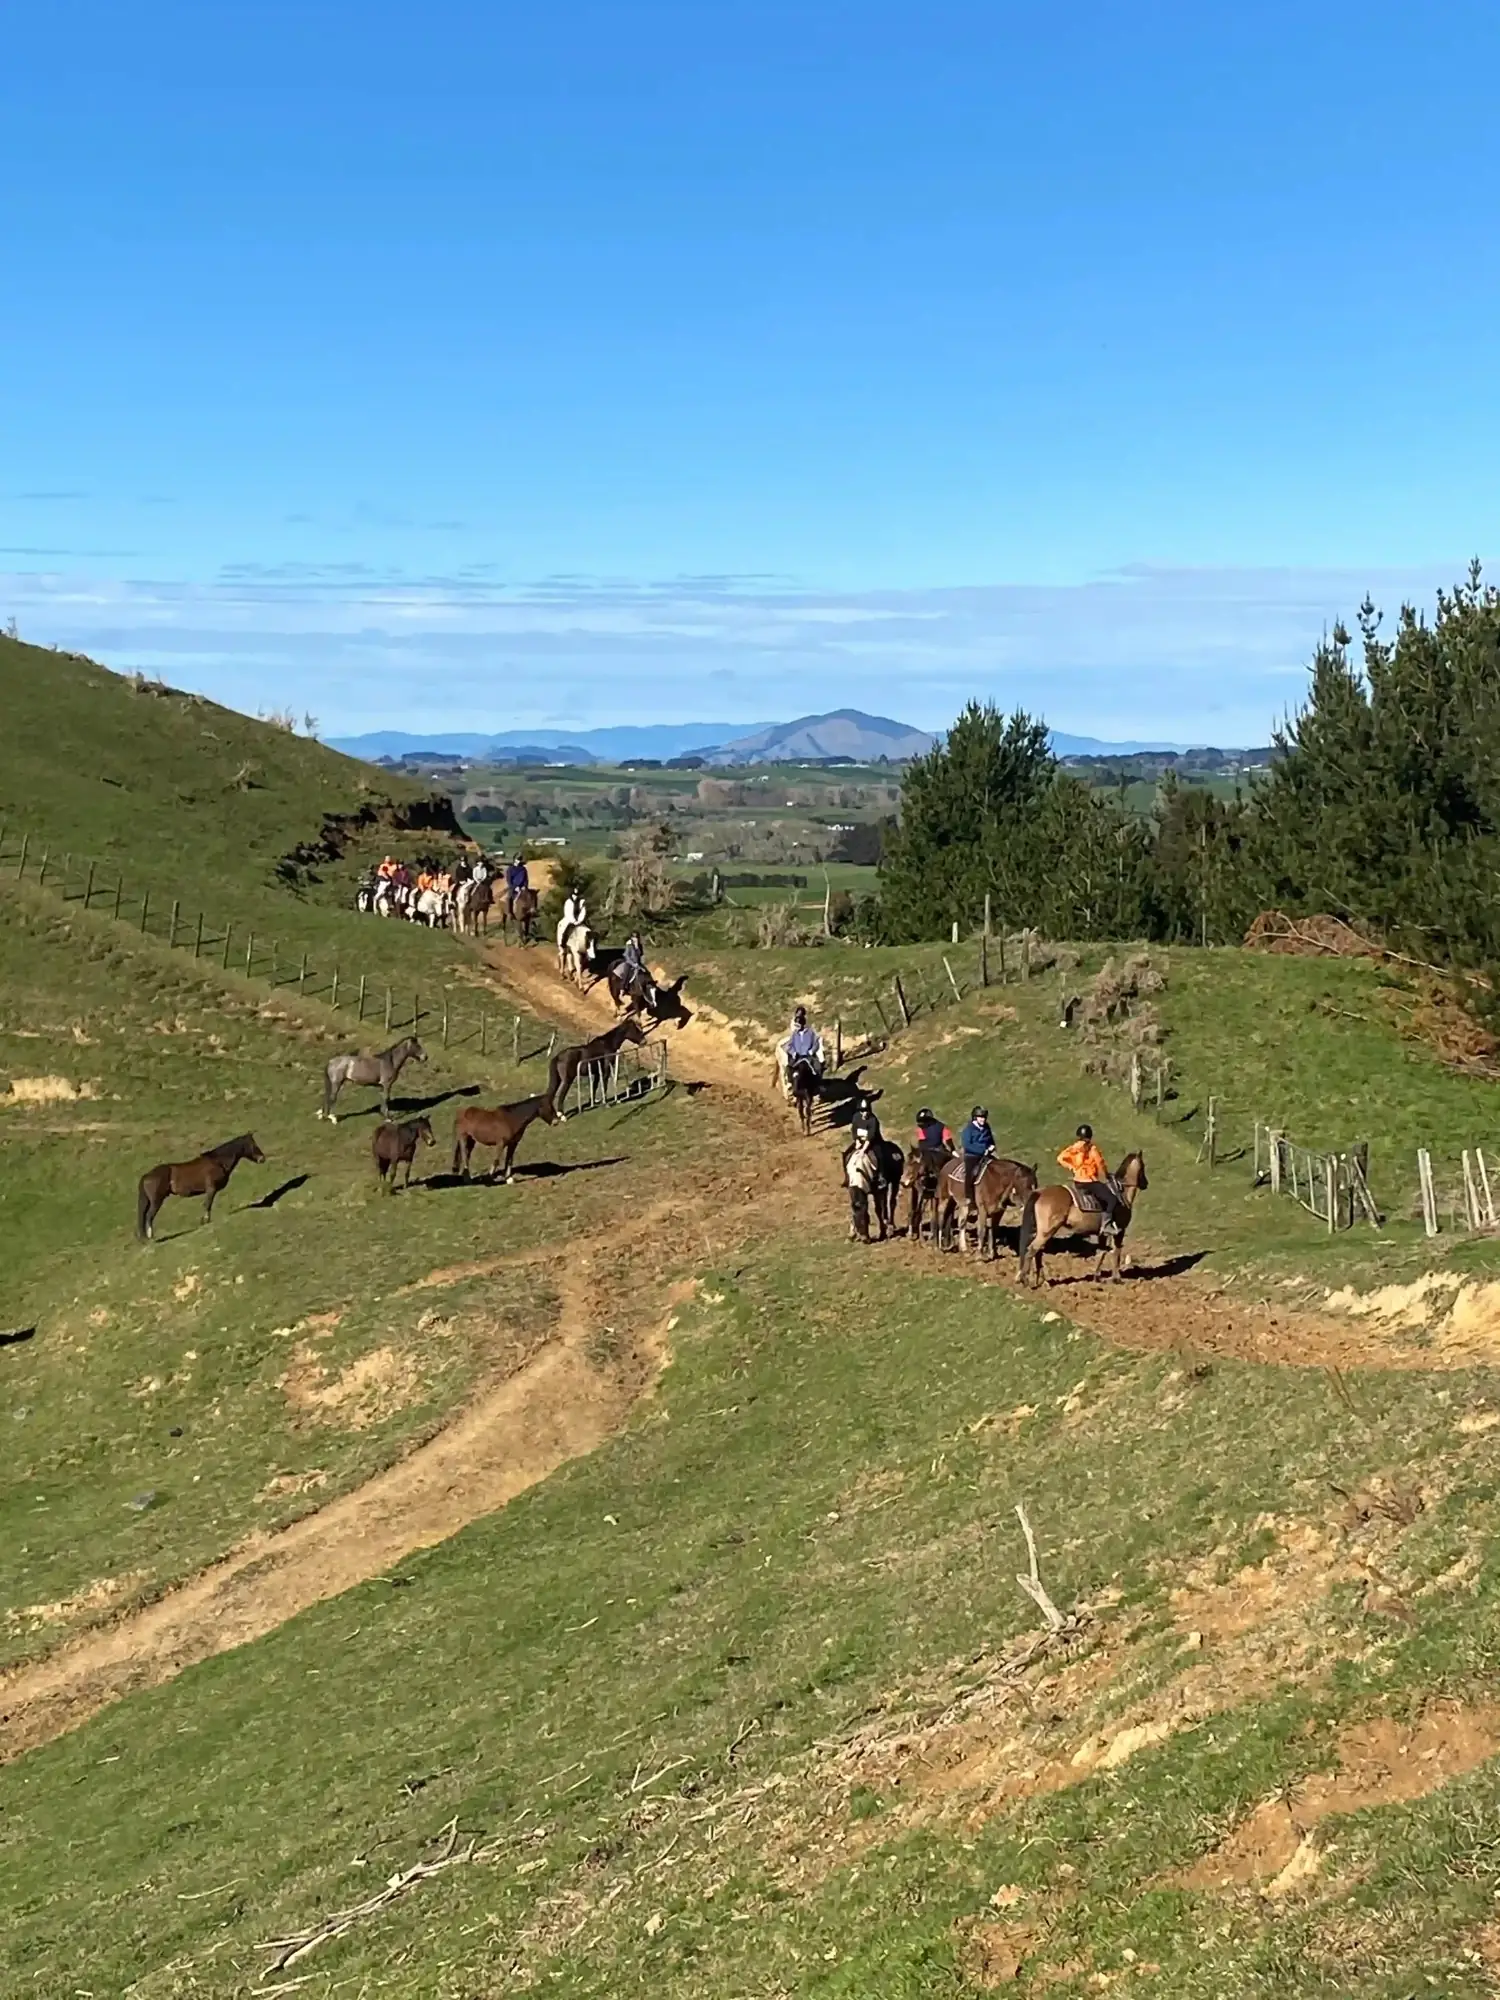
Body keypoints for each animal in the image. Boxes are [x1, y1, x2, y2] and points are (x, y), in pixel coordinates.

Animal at [137, 1133, 266, 1241]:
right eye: (253, 1145)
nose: (262, 1158)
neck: (217, 1162)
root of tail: (146, 1176)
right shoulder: (211, 1189)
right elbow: (207, 1204)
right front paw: (205, 1221)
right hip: (156, 1201)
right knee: (149, 1216)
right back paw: (151, 1237)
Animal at [1017, 1152, 1149, 1287]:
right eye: (1143, 1166)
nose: (1145, 1184)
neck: (1121, 1194)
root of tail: (1040, 1192)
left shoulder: (1102, 1234)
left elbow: (1102, 1253)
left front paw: (1097, 1277)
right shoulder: (1120, 1232)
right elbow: (1116, 1253)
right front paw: (1117, 1279)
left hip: (1041, 1231)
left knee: (1037, 1252)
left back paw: (1041, 1280)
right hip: (1047, 1231)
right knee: (1033, 1249)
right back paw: (1026, 1280)